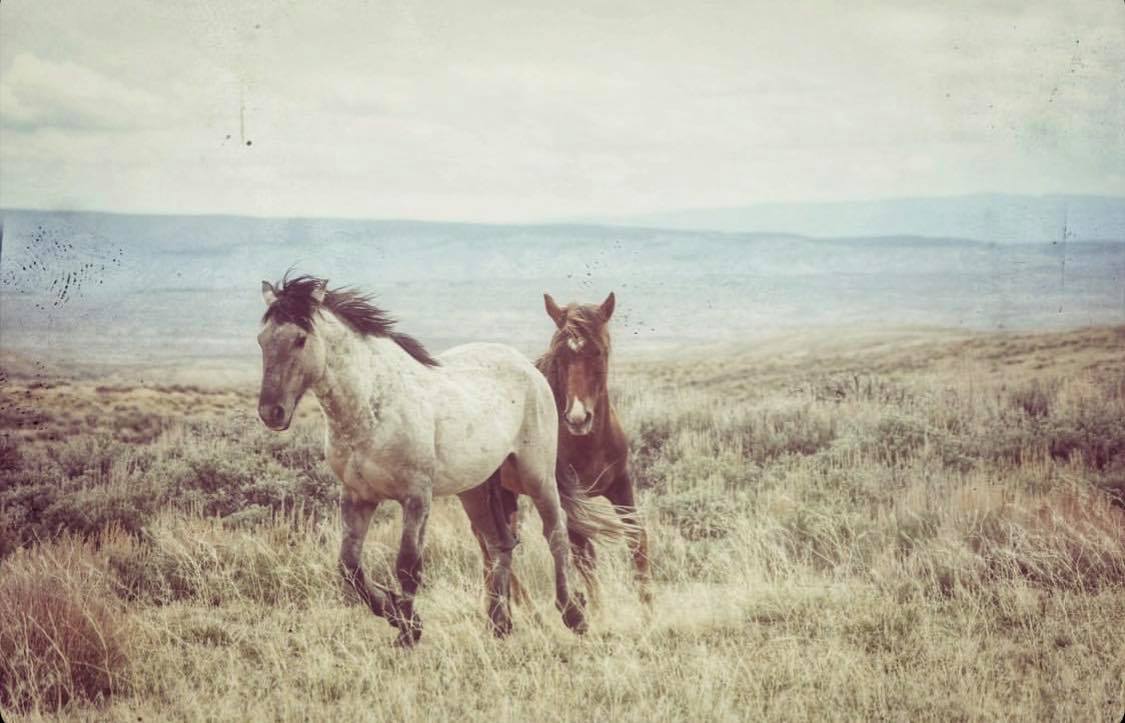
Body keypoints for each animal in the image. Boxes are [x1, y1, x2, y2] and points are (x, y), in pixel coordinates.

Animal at [255, 273, 587, 646]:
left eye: (300, 339)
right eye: (261, 340)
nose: (271, 412)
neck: (371, 405)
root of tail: (527, 368)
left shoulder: (416, 497)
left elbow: (407, 565)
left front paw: (409, 629)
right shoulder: (357, 498)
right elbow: (349, 566)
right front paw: (392, 612)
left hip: (535, 475)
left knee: (556, 532)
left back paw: (573, 615)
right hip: (474, 489)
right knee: (499, 544)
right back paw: (498, 625)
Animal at [504, 291, 652, 606]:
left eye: (598, 352)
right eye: (560, 356)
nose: (577, 418)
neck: (589, 445)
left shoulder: (621, 486)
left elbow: (637, 540)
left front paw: (649, 609)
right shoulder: (568, 504)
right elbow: (586, 561)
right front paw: (599, 614)